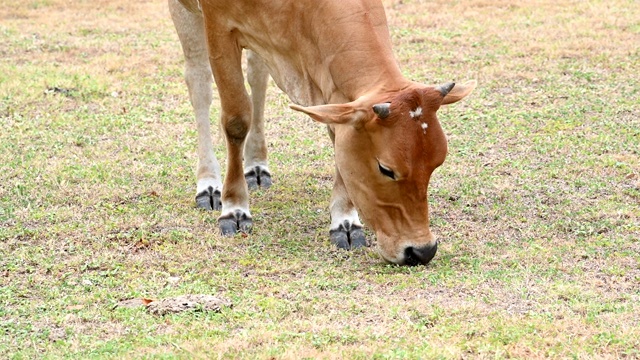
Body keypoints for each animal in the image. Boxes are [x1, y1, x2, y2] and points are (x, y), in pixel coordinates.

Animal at [169, 0, 476, 264]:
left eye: (436, 164)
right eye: (386, 168)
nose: (422, 251)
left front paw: (345, 221)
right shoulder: (219, 26)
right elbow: (235, 119)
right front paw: (234, 208)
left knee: (257, 76)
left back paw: (256, 166)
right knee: (198, 81)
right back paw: (209, 184)